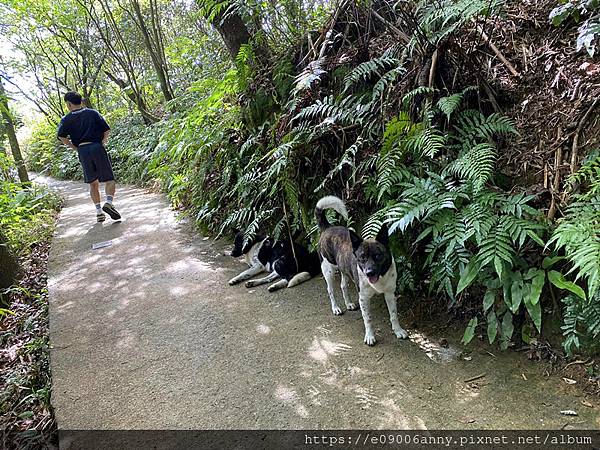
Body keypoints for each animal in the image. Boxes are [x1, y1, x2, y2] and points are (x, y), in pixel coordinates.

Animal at [314, 195, 408, 346]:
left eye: (378, 256)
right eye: (362, 258)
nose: (369, 273)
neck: (380, 278)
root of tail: (327, 227)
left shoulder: (390, 293)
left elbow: (394, 314)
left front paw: (398, 330)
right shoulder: (363, 298)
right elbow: (368, 319)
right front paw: (370, 336)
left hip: (344, 270)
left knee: (343, 285)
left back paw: (349, 304)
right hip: (328, 270)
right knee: (331, 290)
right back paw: (336, 308)